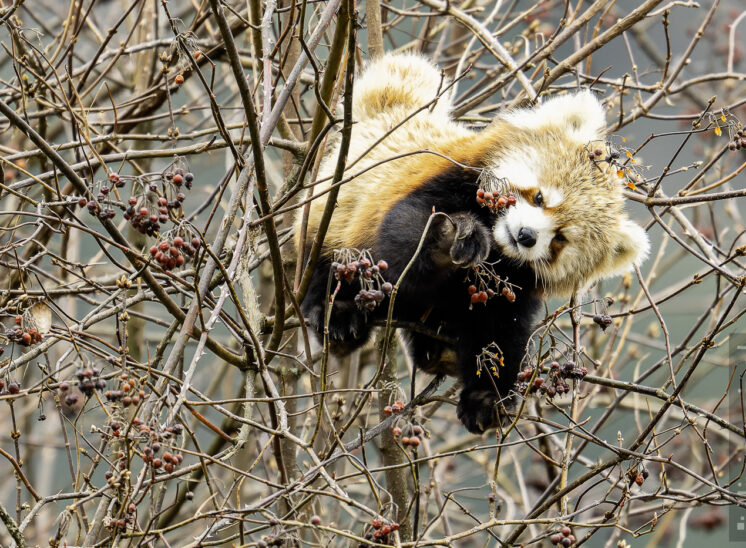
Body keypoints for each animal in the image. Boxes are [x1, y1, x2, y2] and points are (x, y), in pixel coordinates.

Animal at [295, 53, 650, 433]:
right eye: (539, 197)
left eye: (560, 239)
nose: (526, 236)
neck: (496, 244)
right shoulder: (444, 181)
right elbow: (404, 235)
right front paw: (449, 239)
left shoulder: (513, 286)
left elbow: (499, 332)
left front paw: (486, 398)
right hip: (333, 214)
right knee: (326, 259)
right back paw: (338, 314)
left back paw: (437, 352)